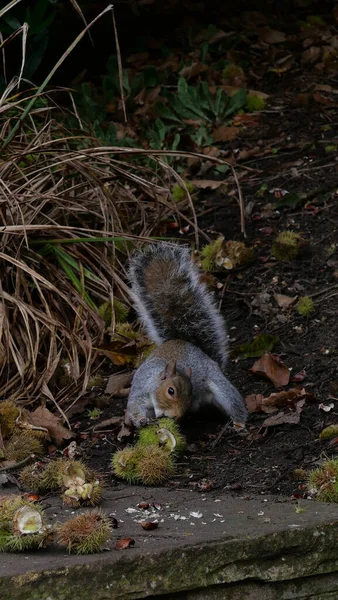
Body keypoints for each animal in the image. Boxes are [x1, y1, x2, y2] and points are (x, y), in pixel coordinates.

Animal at [125, 243, 247, 426]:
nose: (178, 416)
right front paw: (140, 420)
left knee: (233, 401)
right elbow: (134, 407)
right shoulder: (140, 391)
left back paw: (239, 422)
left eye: (191, 394)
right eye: (171, 391)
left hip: (218, 383)